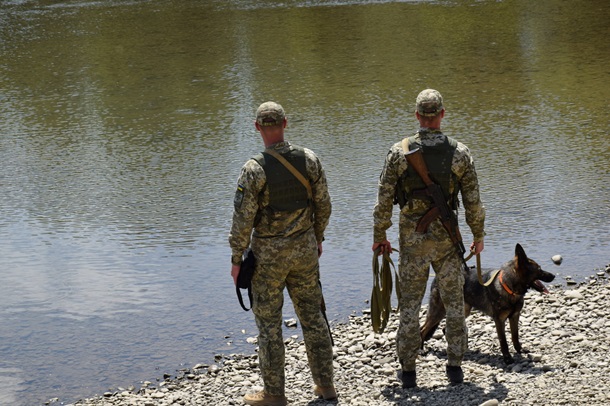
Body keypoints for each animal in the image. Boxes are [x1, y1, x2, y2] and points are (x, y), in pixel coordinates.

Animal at [420, 243, 552, 364]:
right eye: (539, 269)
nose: (553, 275)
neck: (509, 286)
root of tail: (437, 276)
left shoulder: (514, 316)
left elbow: (515, 336)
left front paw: (519, 350)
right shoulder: (499, 320)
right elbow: (503, 341)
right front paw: (507, 358)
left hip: (462, 310)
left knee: (444, 328)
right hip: (439, 311)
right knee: (423, 329)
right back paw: (421, 350)